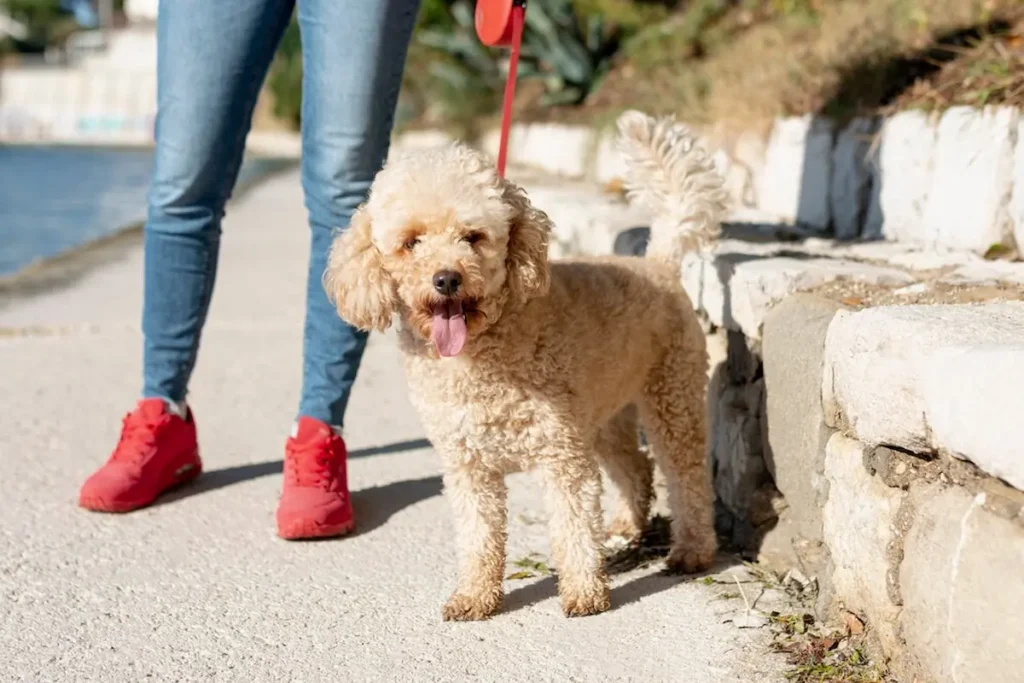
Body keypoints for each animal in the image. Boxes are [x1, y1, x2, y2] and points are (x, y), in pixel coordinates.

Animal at [323, 111, 733, 618]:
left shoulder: (562, 456)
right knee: (636, 467)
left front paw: (584, 593)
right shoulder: (469, 467)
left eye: (473, 237)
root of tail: (659, 263)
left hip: (671, 399)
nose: (446, 279)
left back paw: (693, 549)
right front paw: (474, 596)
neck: (483, 354)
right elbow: (478, 536)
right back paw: (627, 525)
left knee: (687, 476)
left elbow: (573, 527)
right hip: (606, 416)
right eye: (410, 242)